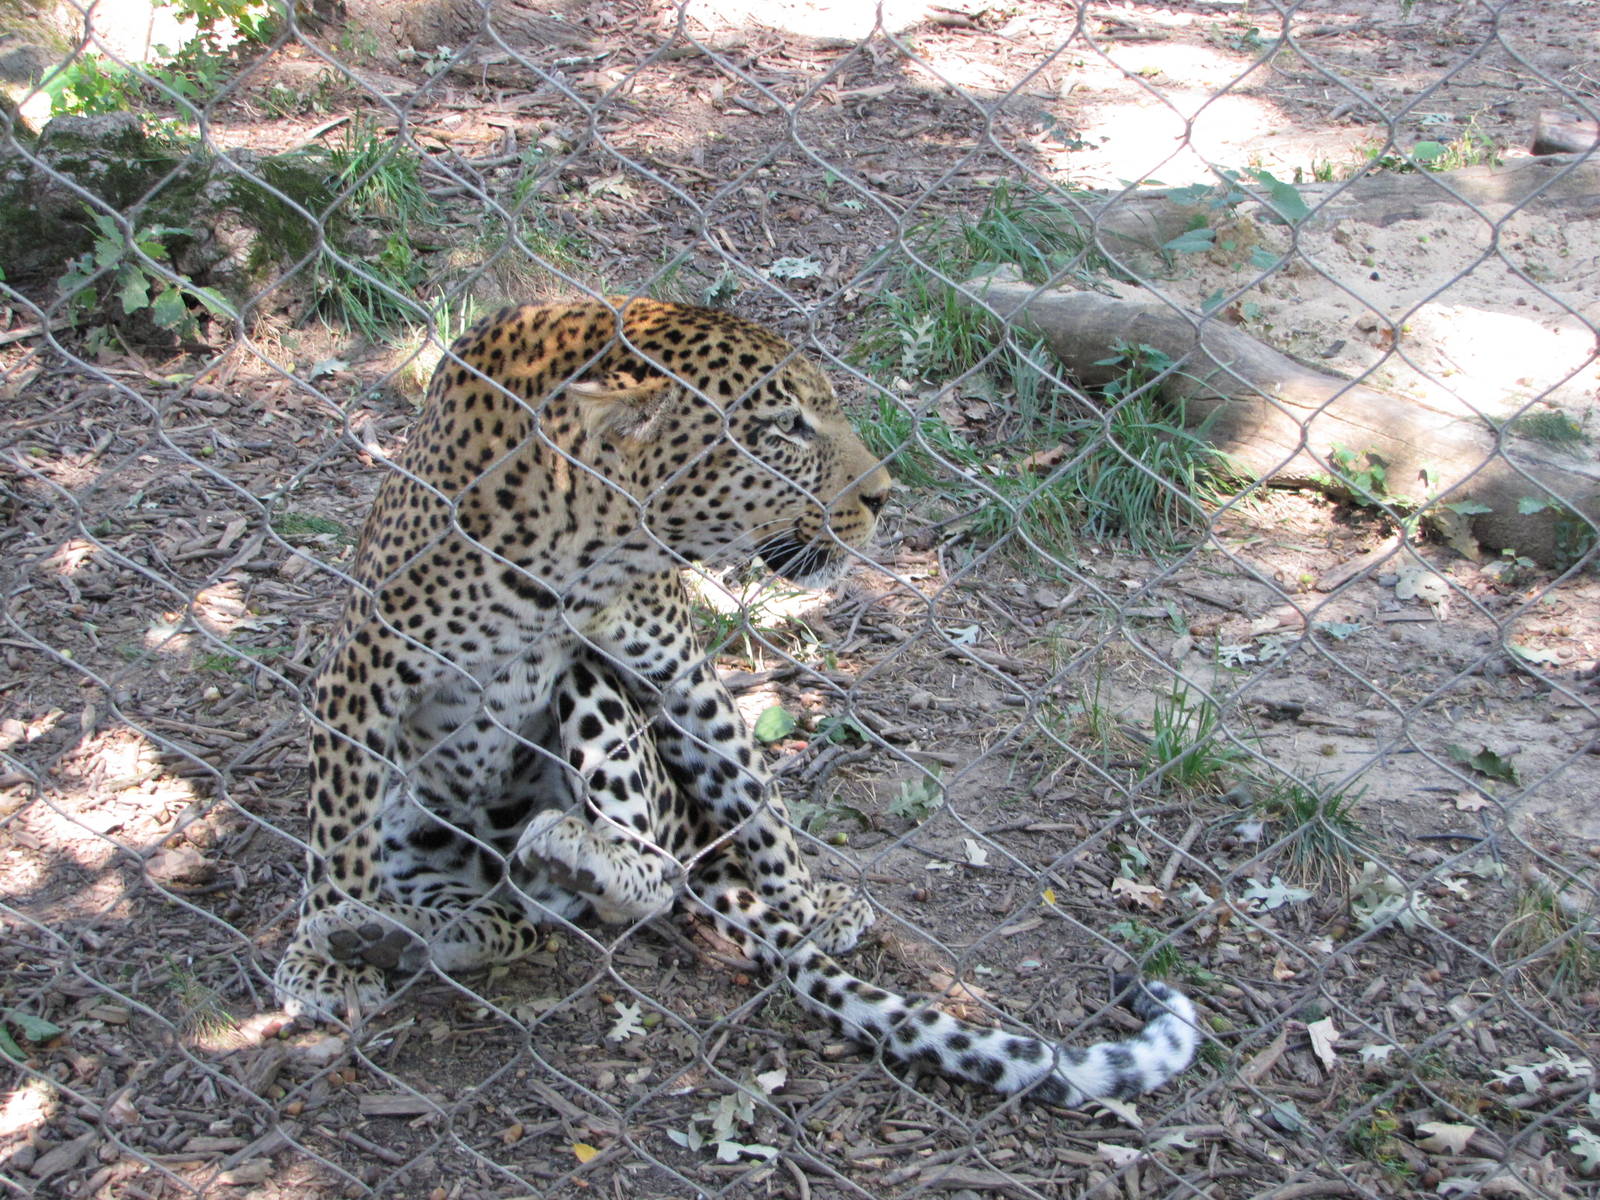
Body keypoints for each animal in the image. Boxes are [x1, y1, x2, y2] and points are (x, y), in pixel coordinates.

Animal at [271, 296, 1199, 1106]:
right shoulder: (361, 669)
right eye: (782, 429)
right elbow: (336, 837)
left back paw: (566, 857)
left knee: (624, 882)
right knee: (502, 909)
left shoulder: (675, 669)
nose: (883, 496)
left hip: (596, 698)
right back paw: (397, 930)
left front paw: (811, 905)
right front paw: (322, 956)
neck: (579, 553)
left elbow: (757, 796)